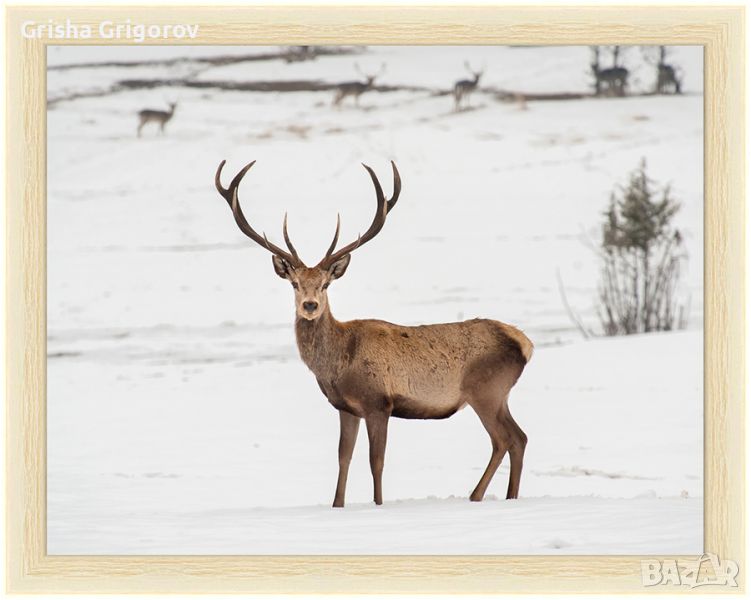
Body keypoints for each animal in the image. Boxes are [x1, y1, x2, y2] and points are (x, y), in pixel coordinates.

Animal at [213, 159, 536, 506]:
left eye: (325, 284)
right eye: (295, 284)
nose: (310, 305)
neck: (337, 364)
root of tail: (525, 344)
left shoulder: (378, 402)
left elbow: (375, 461)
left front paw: (377, 505)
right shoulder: (346, 408)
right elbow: (344, 458)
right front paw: (337, 505)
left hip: (486, 390)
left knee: (505, 439)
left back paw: (478, 495)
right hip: (498, 394)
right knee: (518, 437)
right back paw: (504, 497)